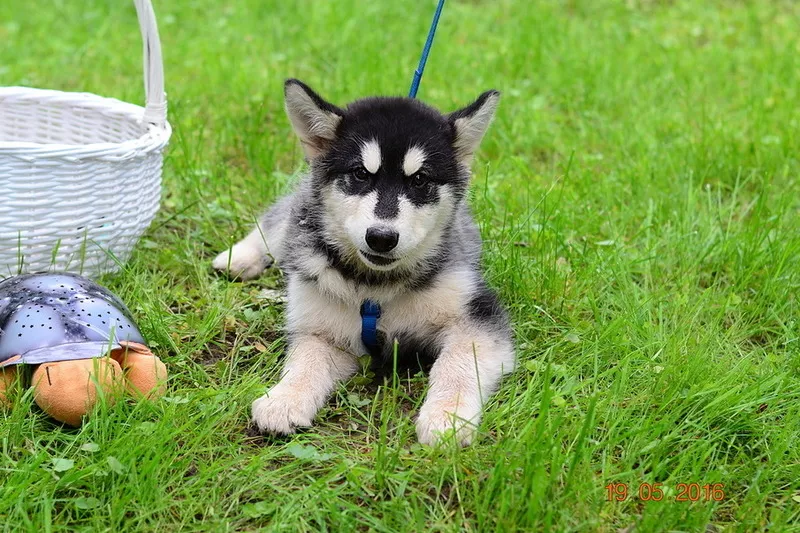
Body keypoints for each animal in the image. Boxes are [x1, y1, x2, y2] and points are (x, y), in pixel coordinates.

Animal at [214, 79, 512, 444]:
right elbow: (305, 360)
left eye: (420, 179)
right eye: (359, 174)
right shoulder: (322, 328)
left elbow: (457, 362)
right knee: (277, 219)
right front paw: (284, 398)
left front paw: (449, 416)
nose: (381, 237)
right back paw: (240, 256)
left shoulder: (476, 314)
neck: (375, 287)